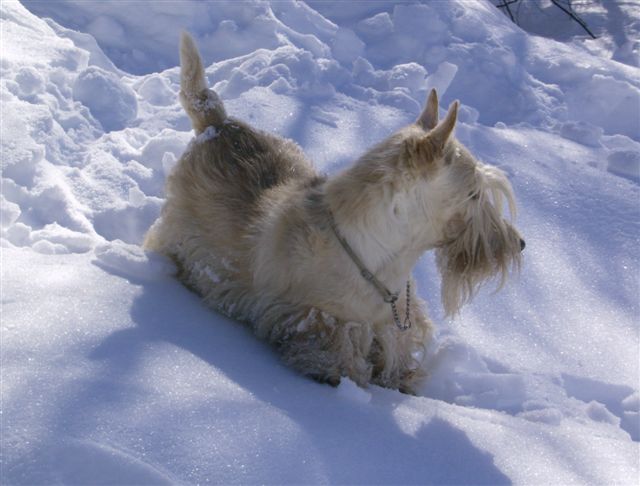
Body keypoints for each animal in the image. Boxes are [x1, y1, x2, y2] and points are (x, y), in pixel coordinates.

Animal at [145, 32, 524, 392]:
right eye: (474, 193)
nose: (519, 244)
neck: (384, 257)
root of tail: (217, 123)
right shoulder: (324, 320)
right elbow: (344, 360)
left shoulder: (391, 324)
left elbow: (397, 354)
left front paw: (403, 380)